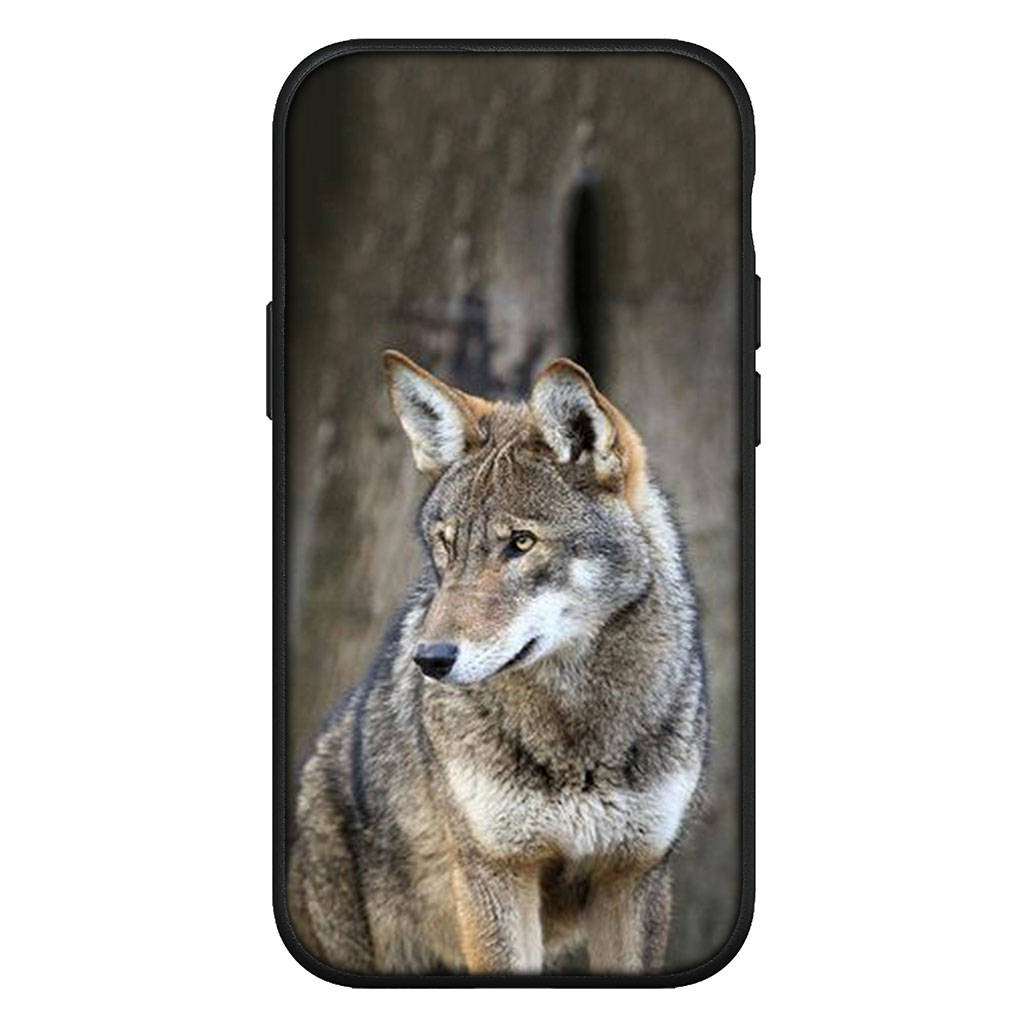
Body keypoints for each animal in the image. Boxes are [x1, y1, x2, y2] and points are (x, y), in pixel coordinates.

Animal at [287, 350, 707, 975]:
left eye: (521, 544)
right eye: (446, 545)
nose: (430, 659)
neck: (577, 736)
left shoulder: (634, 878)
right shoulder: (494, 876)